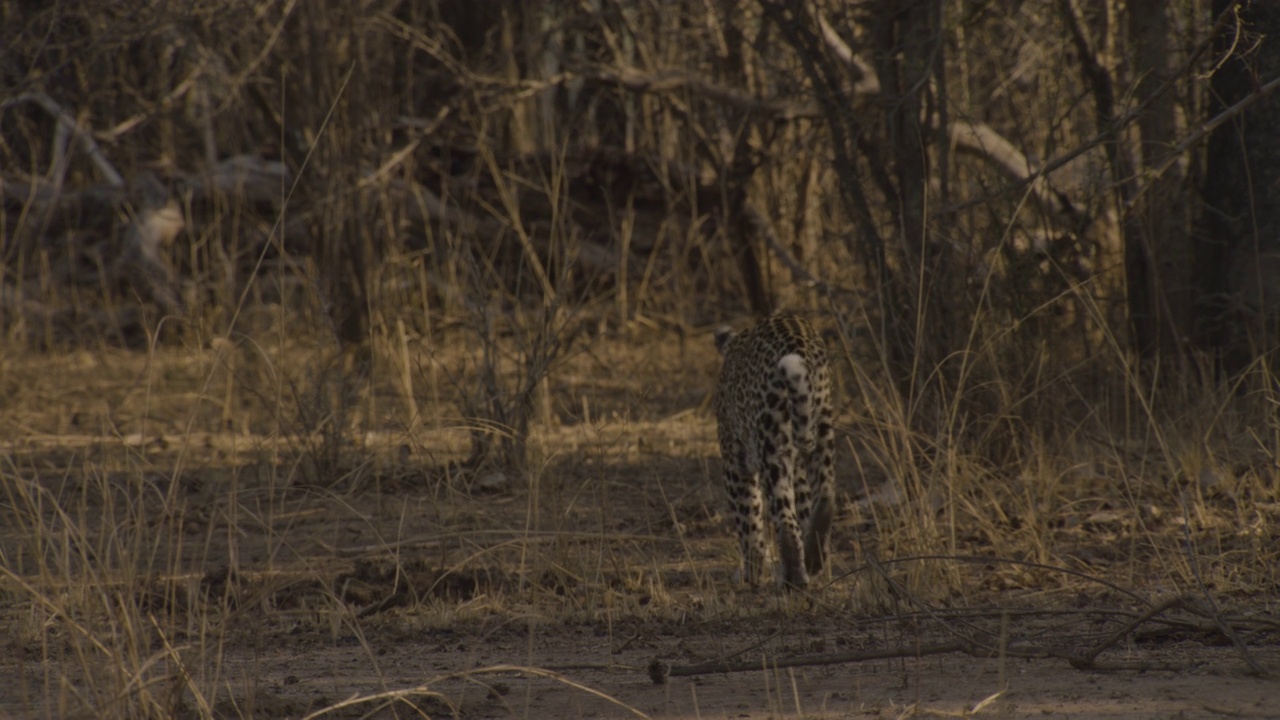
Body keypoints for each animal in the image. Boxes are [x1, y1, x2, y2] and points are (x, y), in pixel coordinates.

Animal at [716, 311, 834, 586]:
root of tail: (799, 345)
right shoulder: (797, 467)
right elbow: (803, 508)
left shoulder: (734, 463)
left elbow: (749, 521)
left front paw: (751, 573)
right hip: (822, 429)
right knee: (824, 497)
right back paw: (813, 560)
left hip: (772, 448)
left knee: (785, 521)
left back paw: (793, 580)